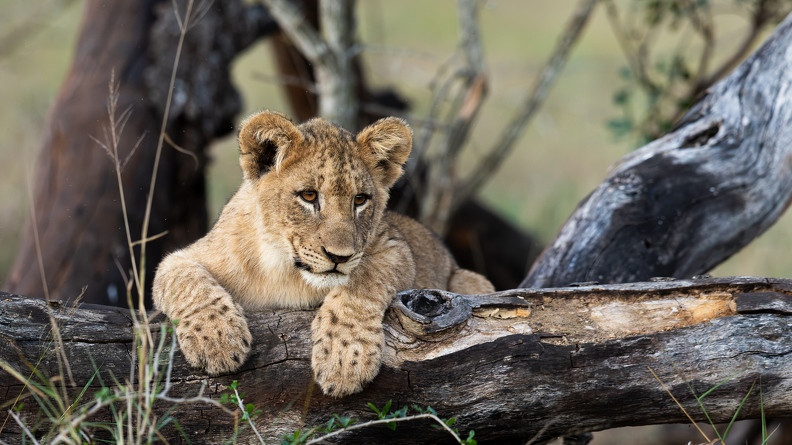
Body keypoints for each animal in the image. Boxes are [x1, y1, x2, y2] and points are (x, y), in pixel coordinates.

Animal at [152, 111, 494, 397]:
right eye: (308, 196)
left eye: (360, 199)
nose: (339, 256)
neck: (284, 270)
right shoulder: (190, 255)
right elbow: (182, 277)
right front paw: (217, 340)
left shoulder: (396, 248)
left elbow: (363, 282)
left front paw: (344, 360)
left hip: (470, 279)